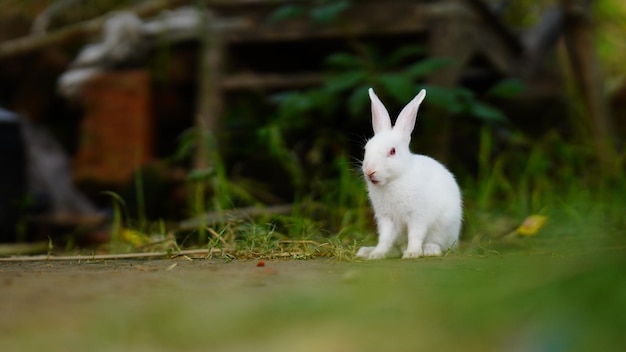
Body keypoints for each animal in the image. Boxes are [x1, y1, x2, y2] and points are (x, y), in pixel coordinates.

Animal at [356, 87, 458, 258]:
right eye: (366, 149)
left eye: (392, 151)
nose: (369, 171)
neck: (395, 179)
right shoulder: (386, 219)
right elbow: (385, 238)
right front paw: (376, 254)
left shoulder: (417, 215)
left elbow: (415, 235)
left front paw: (412, 253)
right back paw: (365, 251)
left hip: (443, 227)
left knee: (439, 244)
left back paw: (430, 250)